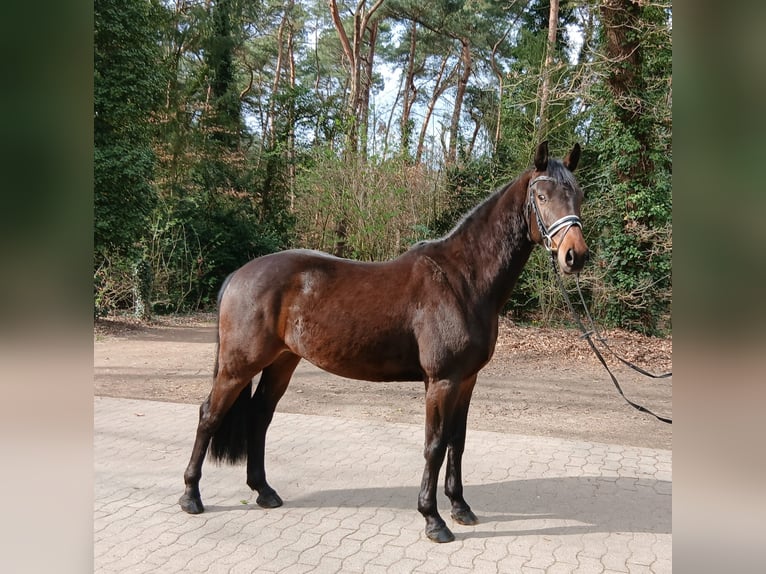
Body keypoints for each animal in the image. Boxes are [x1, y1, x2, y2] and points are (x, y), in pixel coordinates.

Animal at [179, 141, 588, 543]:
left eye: (578, 194)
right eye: (541, 195)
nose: (575, 255)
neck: (463, 280)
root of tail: (239, 275)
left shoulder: (467, 381)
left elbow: (457, 441)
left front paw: (460, 507)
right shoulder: (441, 381)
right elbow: (435, 445)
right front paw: (433, 520)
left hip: (282, 361)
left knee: (260, 416)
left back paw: (264, 491)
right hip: (238, 366)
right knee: (209, 415)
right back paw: (191, 496)